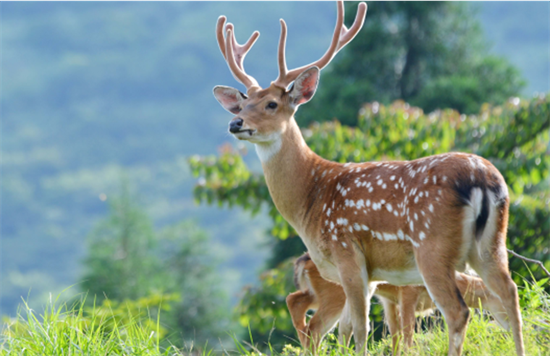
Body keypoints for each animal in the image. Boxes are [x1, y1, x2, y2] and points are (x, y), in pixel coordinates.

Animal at [288, 252, 512, 354]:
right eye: (504, 301)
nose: (512, 327)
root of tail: (303, 261)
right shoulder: (408, 293)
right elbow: (407, 331)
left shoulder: (389, 300)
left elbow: (395, 333)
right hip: (334, 294)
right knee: (315, 327)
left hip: (320, 293)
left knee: (294, 300)